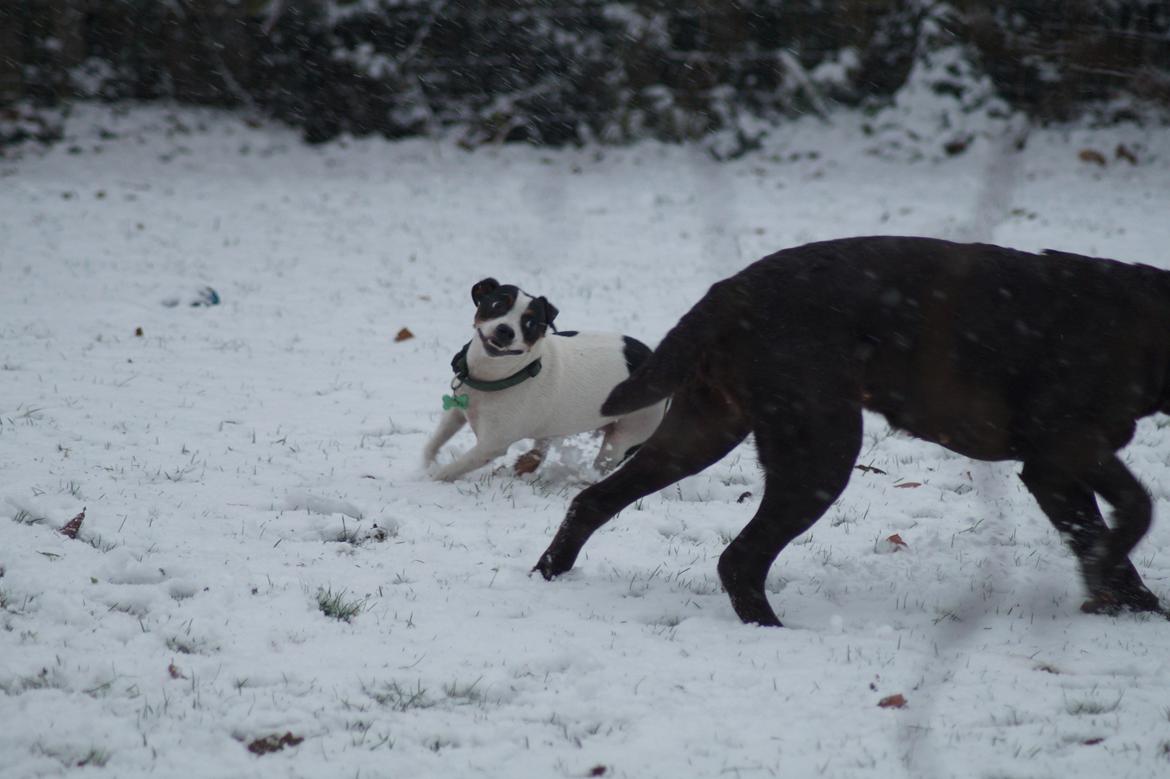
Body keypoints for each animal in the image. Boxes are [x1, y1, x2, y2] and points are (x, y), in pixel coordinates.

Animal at [423, 276, 669, 477]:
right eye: (496, 305)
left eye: (530, 323)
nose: (505, 330)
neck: (498, 376)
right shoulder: (456, 410)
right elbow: (434, 442)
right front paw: (425, 466)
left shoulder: (491, 445)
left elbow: (451, 469)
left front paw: (430, 480)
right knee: (541, 447)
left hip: (629, 434)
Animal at [535, 236, 1170, 626]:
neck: (1145, 322)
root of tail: (729, 290)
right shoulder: (1058, 457)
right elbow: (1133, 513)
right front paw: (1115, 590)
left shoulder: (1063, 468)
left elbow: (1109, 523)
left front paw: (1129, 601)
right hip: (821, 452)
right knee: (739, 559)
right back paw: (772, 631)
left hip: (702, 431)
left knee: (593, 500)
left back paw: (548, 574)